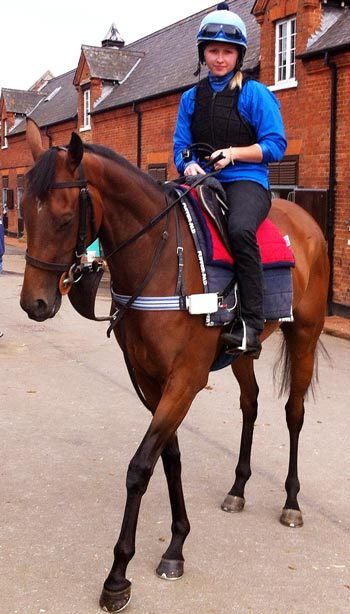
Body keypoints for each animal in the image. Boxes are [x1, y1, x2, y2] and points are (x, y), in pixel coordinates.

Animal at [20, 119, 330, 612]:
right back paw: (238, 489)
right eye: (24, 214)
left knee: (293, 413)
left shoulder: (184, 380)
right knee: (251, 405)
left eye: (66, 219)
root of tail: (305, 223)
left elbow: (140, 468)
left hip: (305, 335)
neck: (162, 258)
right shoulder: (151, 381)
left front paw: (118, 576)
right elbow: (170, 459)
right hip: (242, 354)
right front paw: (177, 544)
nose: (34, 304)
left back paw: (292, 501)